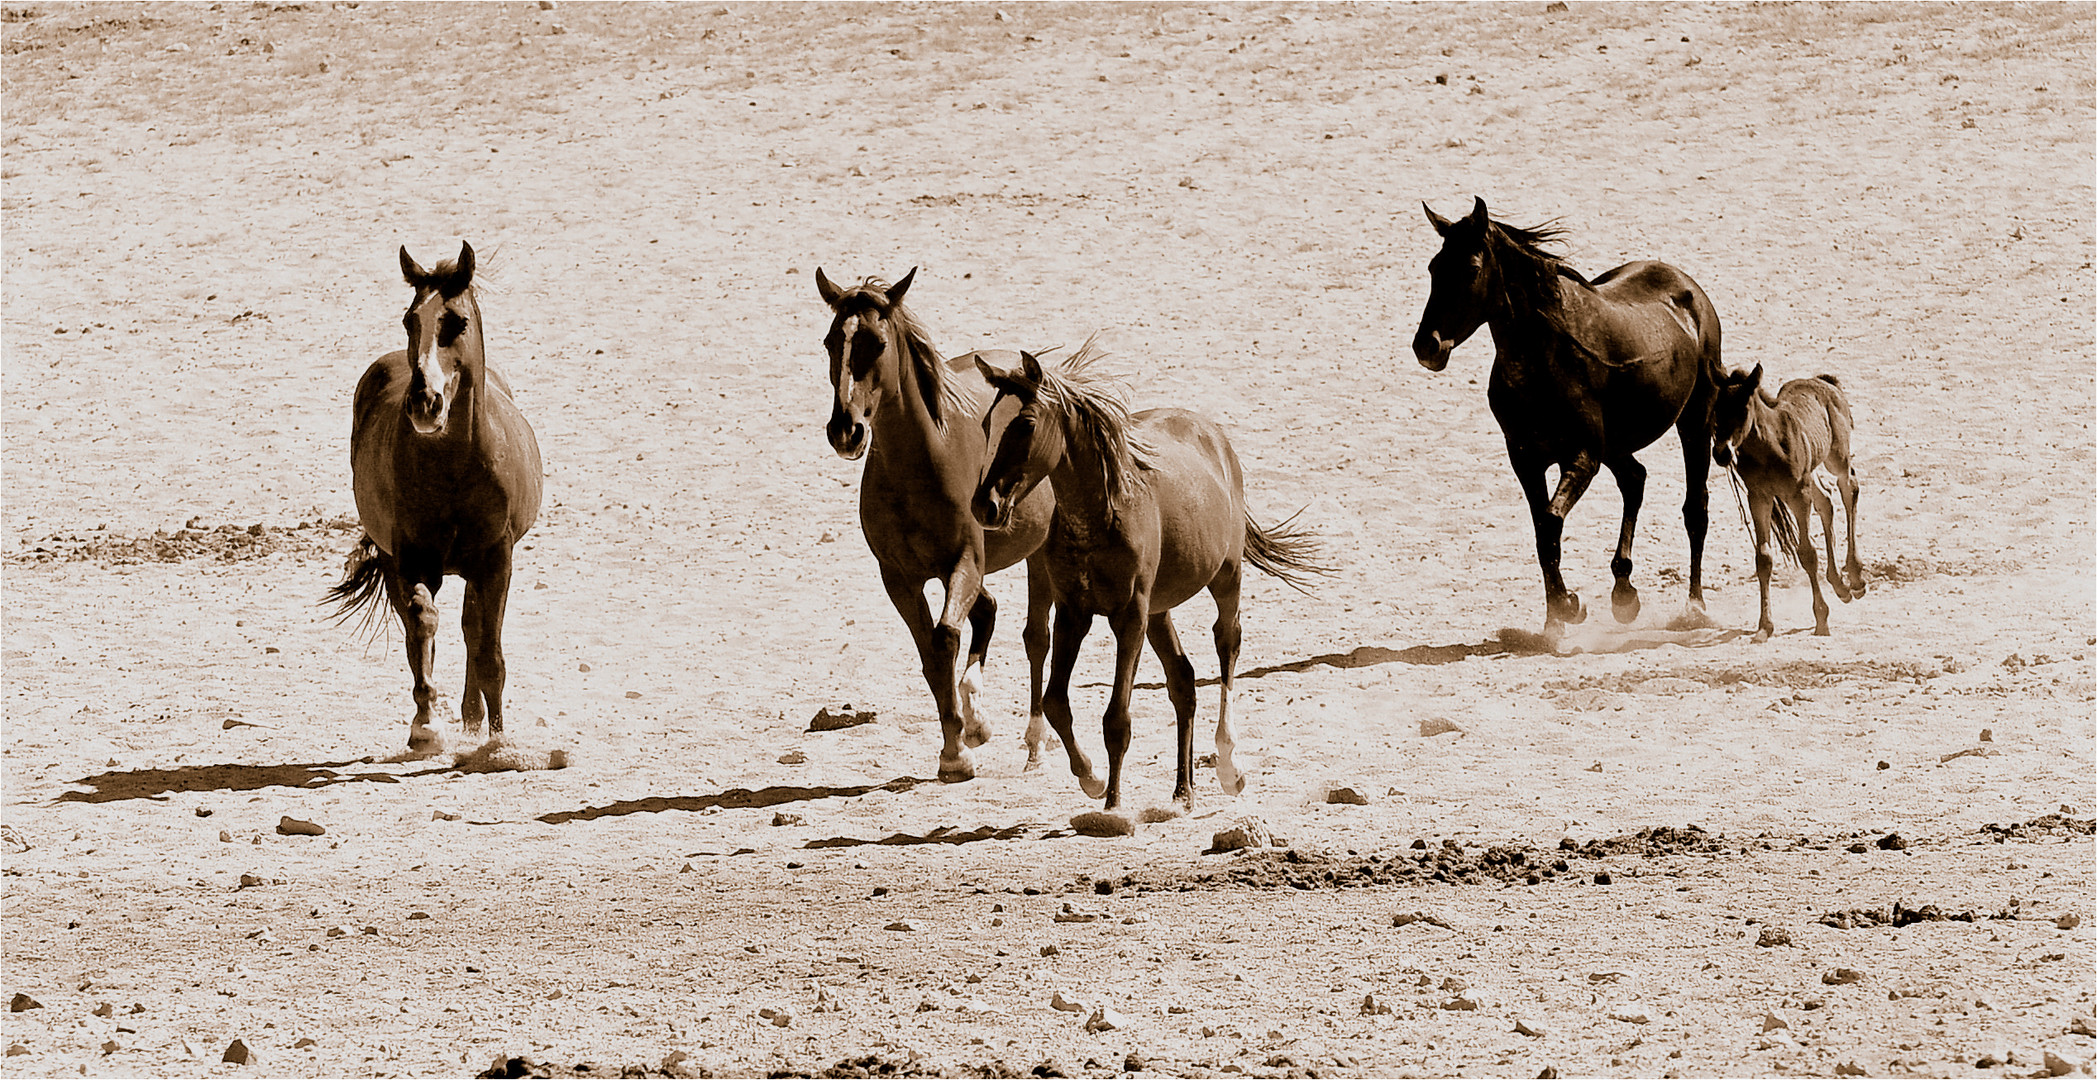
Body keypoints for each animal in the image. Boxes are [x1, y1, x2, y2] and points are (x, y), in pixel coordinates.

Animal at [322, 244, 541, 750]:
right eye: (410, 320)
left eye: (456, 322)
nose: (425, 402)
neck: (456, 467)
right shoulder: (411, 558)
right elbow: (422, 622)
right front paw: (426, 725)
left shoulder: (497, 560)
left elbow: (489, 649)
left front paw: (497, 740)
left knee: (472, 629)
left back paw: (474, 718)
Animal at [809, 266, 1056, 780]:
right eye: (830, 342)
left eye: (877, 343)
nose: (846, 431)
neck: (919, 466)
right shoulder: (899, 578)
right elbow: (929, 653)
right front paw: (958, 742)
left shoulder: (964, 561)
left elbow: (944, 640)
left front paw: (958, 750)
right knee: (988, 611)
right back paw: (978, 717)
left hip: (1038, 553)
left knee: (1036, 639)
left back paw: (1034, 743)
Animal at [968, 350, 1325, 817]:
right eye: (986, 425)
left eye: (1025, 424)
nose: (984, 506)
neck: (1101, 513)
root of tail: (1213, 435)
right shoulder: (1073, 613)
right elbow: (1056, 701)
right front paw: (1091, 778)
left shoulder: (1128, 617)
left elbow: (1117, 717)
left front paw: (1114, 802)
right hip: (1159, 610)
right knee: (1183, 681)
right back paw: (1183, 791)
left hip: (1225, 578)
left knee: (1227, 643)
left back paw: (1229, 767)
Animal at [1409, 198, 1719, 637]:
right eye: (1434, 267)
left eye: (1470, 268)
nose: (1427, 346)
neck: (1544, 356)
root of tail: (1688, 290)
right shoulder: (1527, 459)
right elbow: (1542, 533)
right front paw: (1556, 616)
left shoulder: (1581, 458)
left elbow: (1552, 523)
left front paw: (1567, 605)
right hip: (1616, 445)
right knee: (1635, 480)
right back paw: (1624, 594)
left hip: (1693, 421)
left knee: (1695, 508)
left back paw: (1694, 607)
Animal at [1711, 366, 1862, 645]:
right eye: (1716, 408)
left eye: (1743, 409)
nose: (1721, 453)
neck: (1767, 448)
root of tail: (1825, 381)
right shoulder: (1759, 496)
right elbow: (1763, 558)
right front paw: (1764, 627)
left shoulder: (1797, 494)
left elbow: (1808, 553)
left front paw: (1821, 618)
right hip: (1810, 471)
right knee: (1826, 499)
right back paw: (1840, 585)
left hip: (1836, 456)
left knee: (1849, 487)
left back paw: (1856, 577)